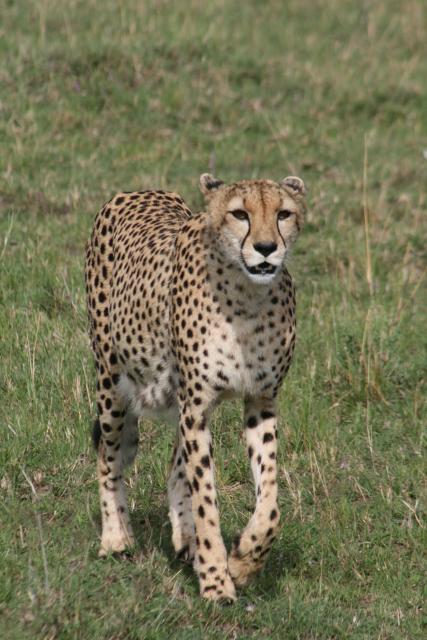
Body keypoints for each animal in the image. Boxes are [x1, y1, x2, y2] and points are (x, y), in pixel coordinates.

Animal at [84, 173, 306, 602]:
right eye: (239, 214)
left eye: (284, 214)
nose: (266, 248)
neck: (247, 298)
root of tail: (139, 190)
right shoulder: (197, 407)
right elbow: (206, 499)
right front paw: (217, 581)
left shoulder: (260, 401)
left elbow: (270, 500)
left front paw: (244, 561)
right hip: (112, 382)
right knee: (109, 456)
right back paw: (116, 536)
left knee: (175, 463)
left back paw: (184, 537)